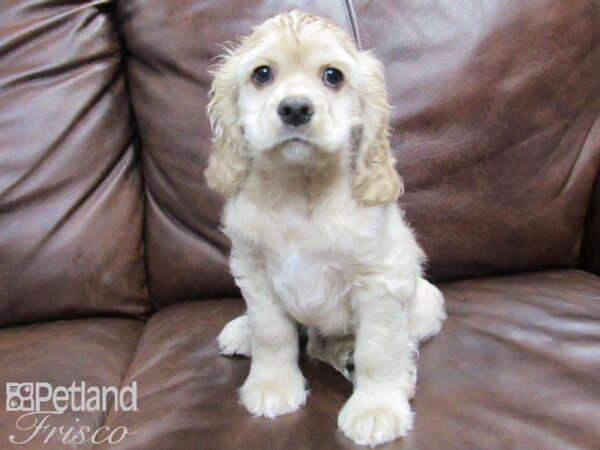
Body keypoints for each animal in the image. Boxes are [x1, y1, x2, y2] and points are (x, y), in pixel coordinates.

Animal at [206, 9, 446, 446]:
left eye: (333, 76)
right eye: (262, 74)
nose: (295, 109)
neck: (301, 190)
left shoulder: (380, 282)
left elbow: (378, 349)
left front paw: (376, 409)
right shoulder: (254, 271)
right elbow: (271, 332)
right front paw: (272, 386)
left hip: (426, 300)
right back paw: (242, 331)